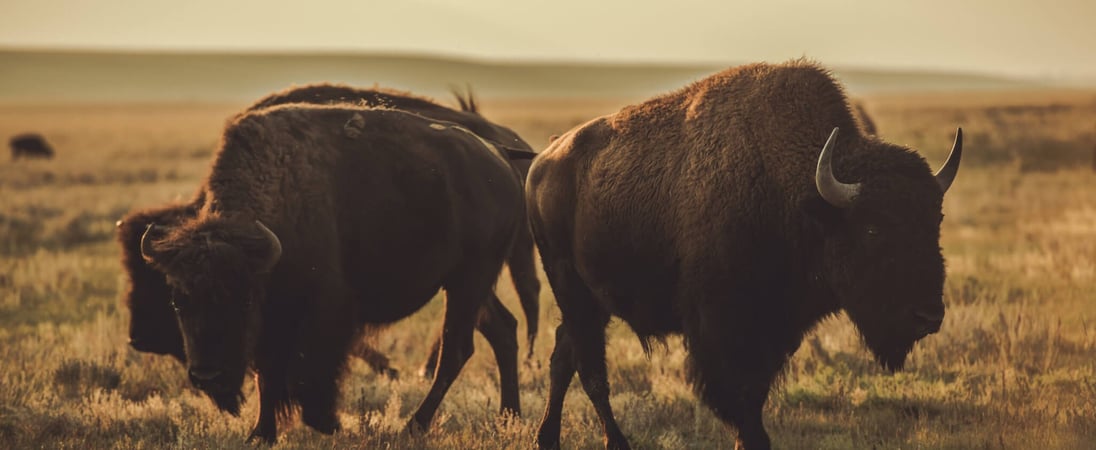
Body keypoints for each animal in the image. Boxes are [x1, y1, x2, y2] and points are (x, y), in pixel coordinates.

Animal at [137, 102, 530, 444]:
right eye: (178, 301)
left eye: (244, 299)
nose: (207, 376)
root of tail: (499, 156)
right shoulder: (273, 321)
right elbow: (267, 374)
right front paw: (261, 434)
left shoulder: (323, 310)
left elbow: (308, 369)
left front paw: (325, 423)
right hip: (468, 284)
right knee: (502, 330)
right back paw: (509, 417)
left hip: (469, 280)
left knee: (457, 349)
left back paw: (413, 427)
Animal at [526, 60, 964, 450]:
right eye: (873, 229)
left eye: (935, 223)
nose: (928, 316)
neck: (794, 194)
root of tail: (542, 162)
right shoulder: (721, 332)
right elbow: (741, 404)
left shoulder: (774, 331)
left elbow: (754, 397)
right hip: (573, 290)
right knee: (589, 368)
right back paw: (614, 442)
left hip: (591, 302)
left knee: (565, 356)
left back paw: (547, 438)